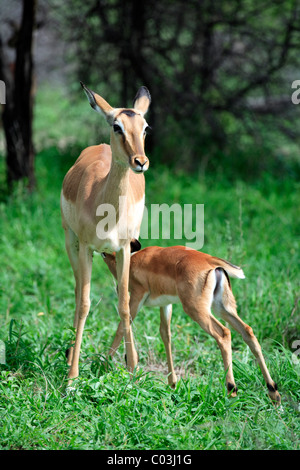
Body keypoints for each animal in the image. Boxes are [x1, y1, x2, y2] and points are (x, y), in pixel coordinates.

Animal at [61, 82, 151, 384]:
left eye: (145, 127)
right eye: (117, 126)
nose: (140, 161)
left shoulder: (124, 248)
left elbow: (124, 302)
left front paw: (133, 368)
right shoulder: (86, 247)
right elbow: (85, 304)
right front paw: (72, 379)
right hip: (72, 243)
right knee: (78, 292)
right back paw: (69, 357)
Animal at [103, 246, 282, 404]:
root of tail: (211, 262)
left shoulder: (136, 297)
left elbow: (121, 327)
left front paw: (105, 366)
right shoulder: (166, 304)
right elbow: (165, 335)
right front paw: (172, 383)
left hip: (197, 310)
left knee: (224, 333)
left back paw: (232, 391)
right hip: (223, 308)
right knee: (247, 331)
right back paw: (274, 393)